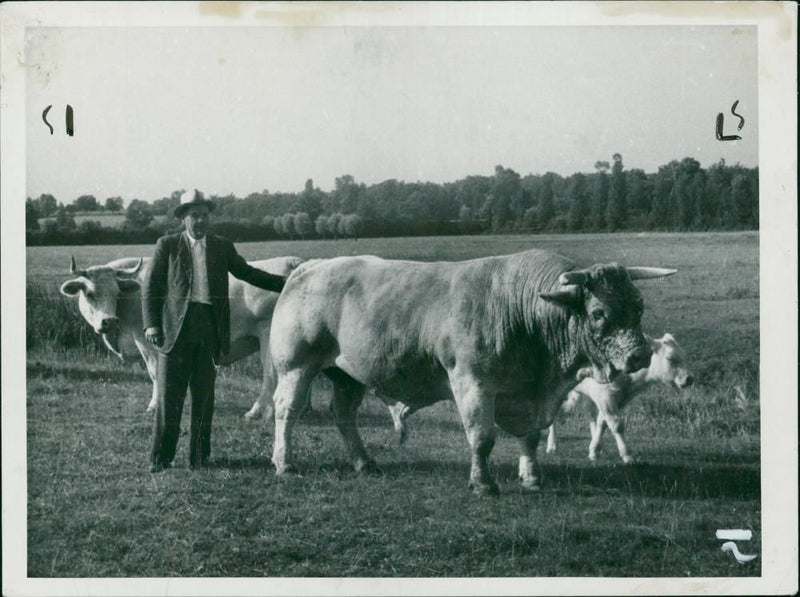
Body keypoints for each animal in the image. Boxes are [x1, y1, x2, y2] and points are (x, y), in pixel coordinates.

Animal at [59, 255, 304, 420]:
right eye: (90, 293)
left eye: (116, 292)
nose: (109, 321)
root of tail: (293, 263)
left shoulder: (146, 343)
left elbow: (155, 373)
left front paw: (155, 405)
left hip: (268, 338)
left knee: (270, 376)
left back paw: (257, 411)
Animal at [548, 332, 692, 464]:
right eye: (670, 358)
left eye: (685, 356)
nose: (689, 378)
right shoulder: (605, 397)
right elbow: (617, 425)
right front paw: (627, 455)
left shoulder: (617, 399)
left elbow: (602, 423)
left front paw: (594, 450)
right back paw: (552, 445)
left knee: (588, 414)